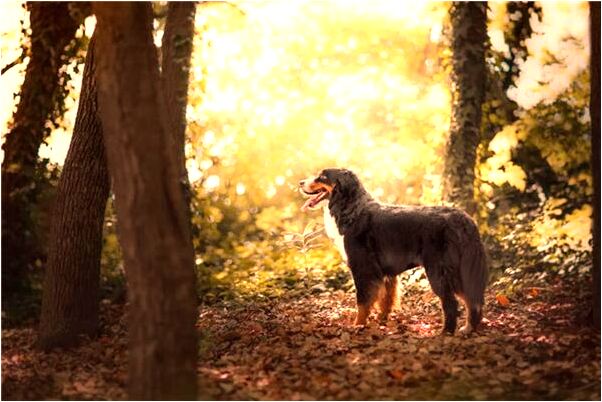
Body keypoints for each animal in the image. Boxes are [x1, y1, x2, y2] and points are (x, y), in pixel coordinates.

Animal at [300, 168, 488, 334]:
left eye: (322, 177)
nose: (300, 182)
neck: (352, 210)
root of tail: (464, 219)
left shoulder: (363, 268)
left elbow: (362, 301)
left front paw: (358, 325)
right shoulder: (385, 272)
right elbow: (386, 299)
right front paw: (381, 321)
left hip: (439, 270)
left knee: (451, 302)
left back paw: (446, 332)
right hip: (461, 270)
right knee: (472, 300)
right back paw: (469, 328)